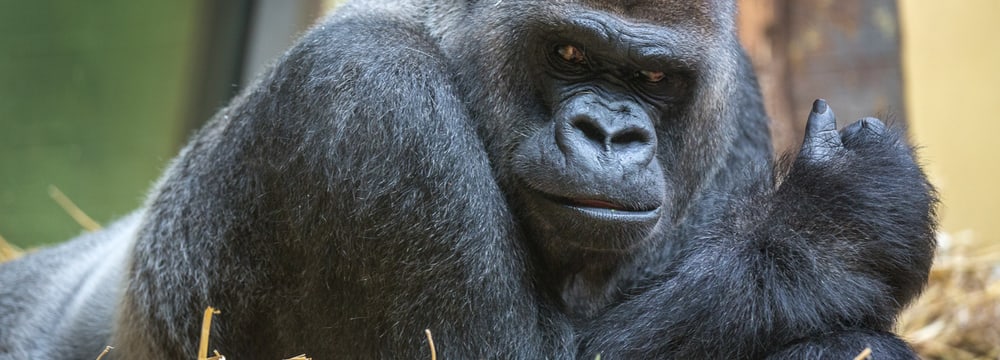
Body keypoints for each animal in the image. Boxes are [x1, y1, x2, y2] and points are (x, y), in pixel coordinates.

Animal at [0, 0, 936, 358]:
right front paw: (833, 229)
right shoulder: (372, 98)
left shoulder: (730, 98)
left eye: (654, 79)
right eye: (568, 53)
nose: (609, 134)